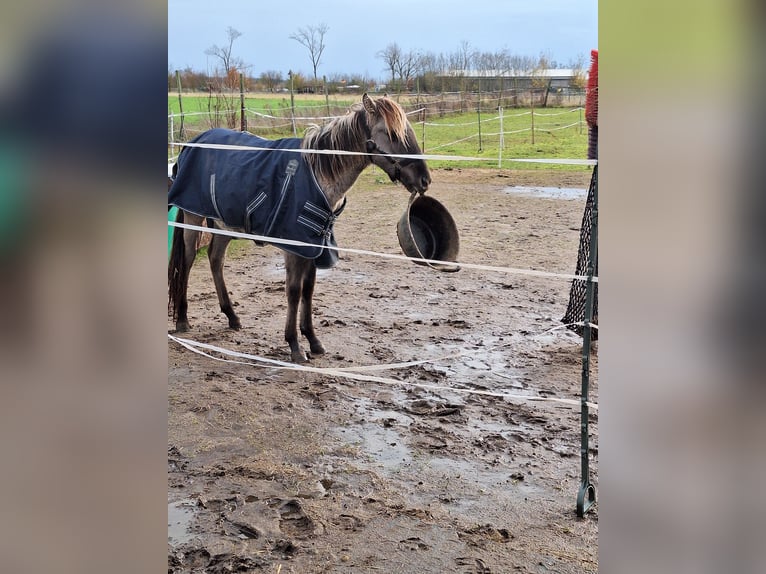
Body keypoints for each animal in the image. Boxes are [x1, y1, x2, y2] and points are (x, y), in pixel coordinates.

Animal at [169, 95, 432, 364]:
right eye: (391, 134)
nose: (424, 180)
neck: (319, 174)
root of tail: (193, 142)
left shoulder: (313, 245)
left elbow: (308, 290)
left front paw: (313, 341)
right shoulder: (295, 247)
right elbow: (294, 291)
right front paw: (295, 345)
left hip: (225, 223)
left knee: (215, 259)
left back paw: (232, 317)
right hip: (193, 217)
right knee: (188, 261)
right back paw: (183, 319)